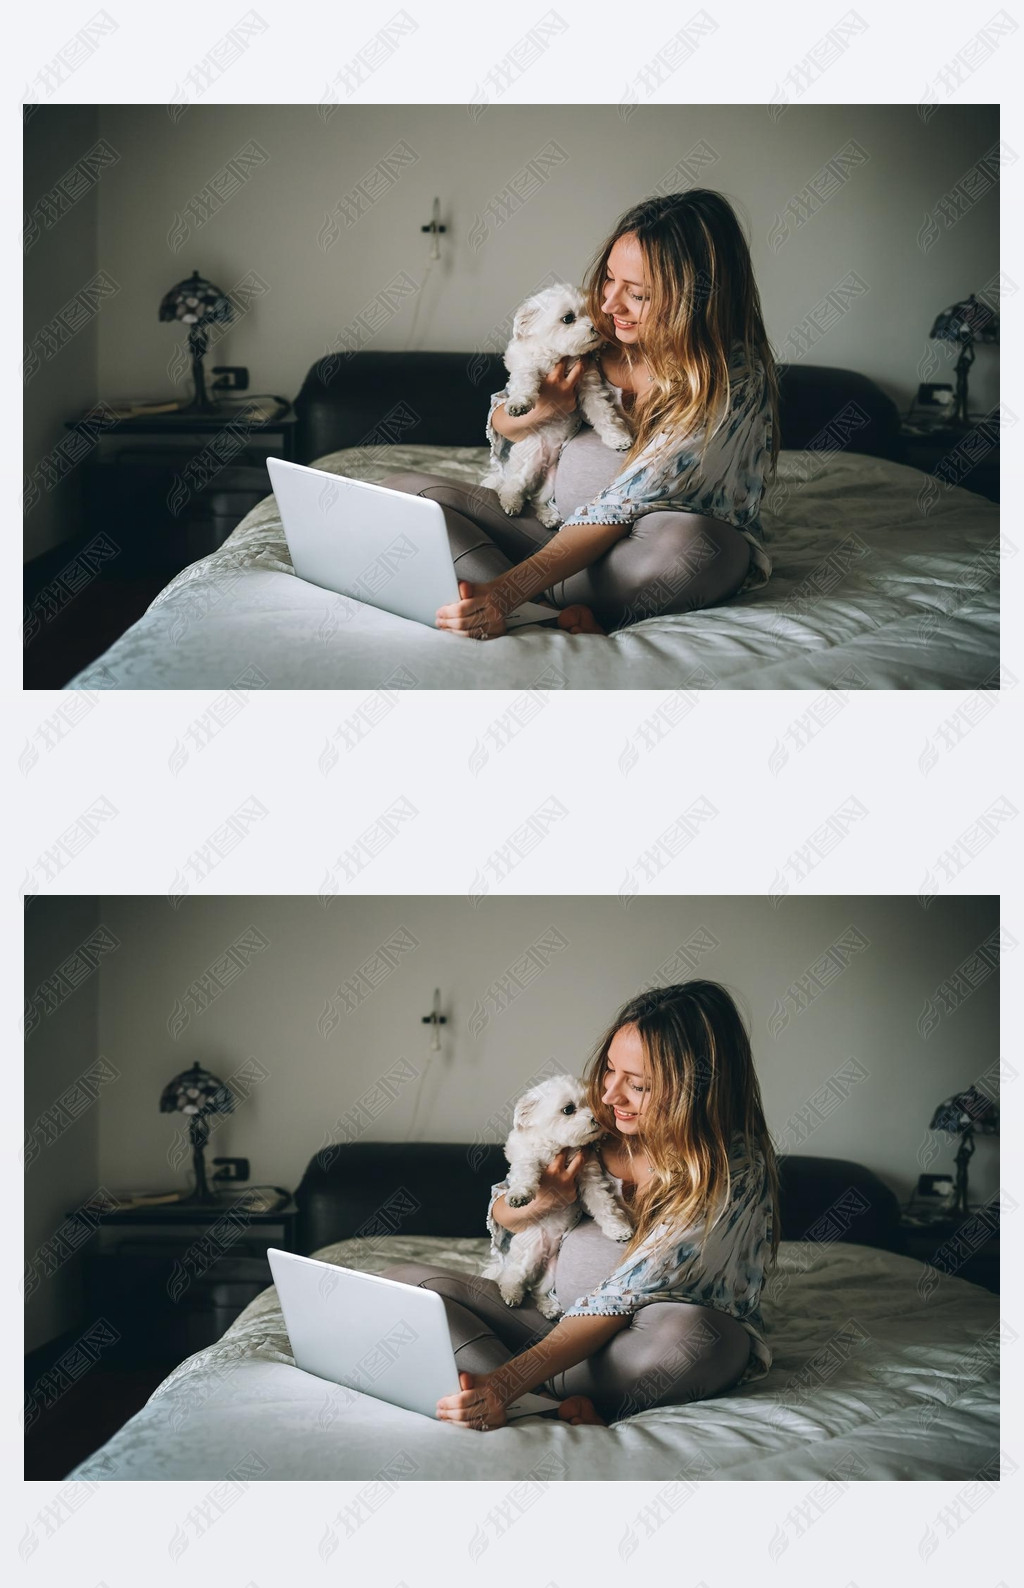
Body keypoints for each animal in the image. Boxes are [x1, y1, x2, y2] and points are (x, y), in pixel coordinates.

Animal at [479, 282, 631, 530]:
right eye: (568, 318)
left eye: (594, 312)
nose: (596, 328)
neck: (560, 355)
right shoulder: (524, 364)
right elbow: (526, 378)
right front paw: (519, 403)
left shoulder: (589, 385)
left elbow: (603, 414)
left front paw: (617, 438)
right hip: (529, 462)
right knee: (513, 487)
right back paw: (511, 502)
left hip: (552, 481)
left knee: (537, 500)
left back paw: (548, 516)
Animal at [479, 1073, 631, 1321]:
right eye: (568, 1109)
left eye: (594, 1103)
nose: (596, 1119)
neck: (561, 1146)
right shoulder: (525, 1156)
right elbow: (526, 1169)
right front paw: (519, 1194)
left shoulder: (590, 1176)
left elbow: (603, 1205)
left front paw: (618, 1229)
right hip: (529, 1254)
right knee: (511, 1277)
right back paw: (511, 1293)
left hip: (552, 1273)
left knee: (538, 1291)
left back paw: (548, 1307)